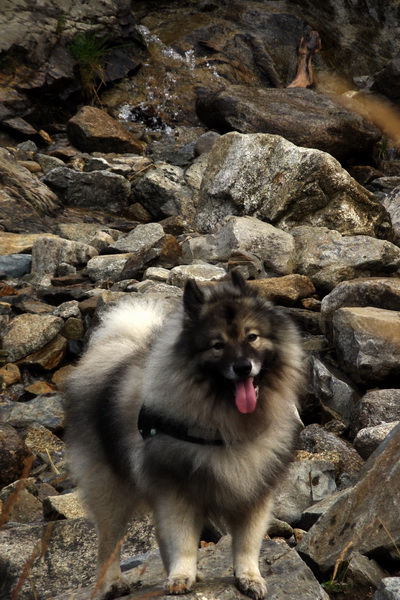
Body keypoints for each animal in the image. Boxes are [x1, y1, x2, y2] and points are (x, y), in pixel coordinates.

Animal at [65, 272, 304, 600]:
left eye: (252, 336)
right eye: (217, 345)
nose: (243, 367)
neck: (225, 425)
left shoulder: (254, 492)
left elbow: (247, 543)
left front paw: (249, 578)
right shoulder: (177, 490)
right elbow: (183, 540)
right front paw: (181, 575)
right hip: (110, 488)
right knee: (109, 542)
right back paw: (113, 583)